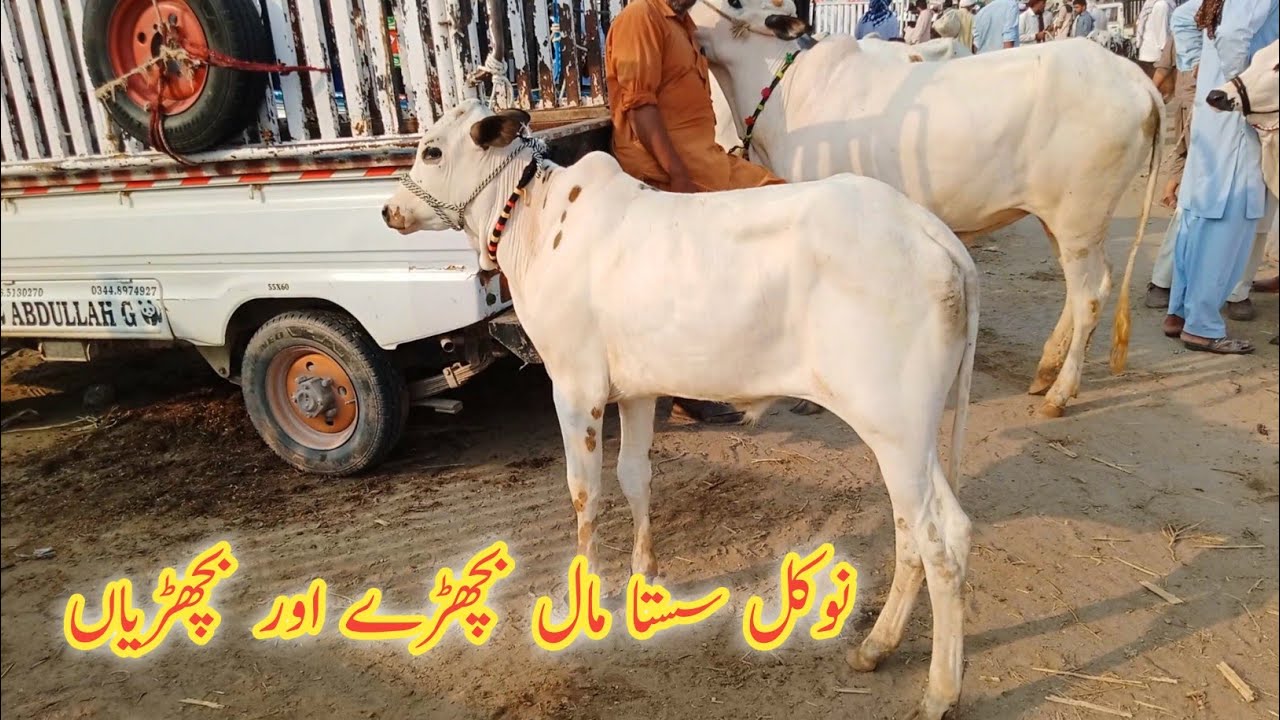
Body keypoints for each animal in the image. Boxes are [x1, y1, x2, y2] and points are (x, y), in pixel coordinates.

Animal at [382, 98, 980, 720]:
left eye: (431, 150)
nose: (388, 208)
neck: (540, 224)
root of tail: (931, 232)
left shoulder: (573, 388)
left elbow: (585, 491)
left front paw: (582, 590)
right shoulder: (638, 391)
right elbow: (635, 476)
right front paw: (642, 573)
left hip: (894, 428)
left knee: (938, 544)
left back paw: (940, 690)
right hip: (910, 438)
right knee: (929, 531)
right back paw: (875, 647)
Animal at [692, 0, 1164, 418]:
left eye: (734, 1)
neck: (780, 87)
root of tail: (1133, 78)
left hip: (1079, 217)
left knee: (1090, 295)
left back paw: (1059, 393)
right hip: (1062, 221)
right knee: (1079, 289)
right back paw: (1045, 371)